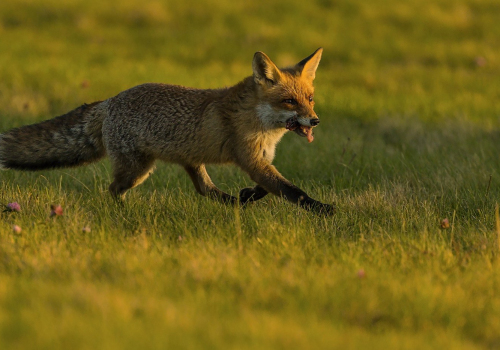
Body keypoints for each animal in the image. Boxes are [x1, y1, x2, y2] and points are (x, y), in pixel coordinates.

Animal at [0, 47, 336, 215]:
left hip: (189, 161)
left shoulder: (261, 160)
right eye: (289, 101)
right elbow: (292, 191)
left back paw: (235, 202)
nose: (315, 121)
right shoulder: (250, 159)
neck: (262, 125)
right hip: (137, 170)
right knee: (112, 189)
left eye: (310, 99)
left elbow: (271, 186)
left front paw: (248, 194)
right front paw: (322, 210)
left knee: (204, 190)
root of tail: (110, 101)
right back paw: (123, 213)